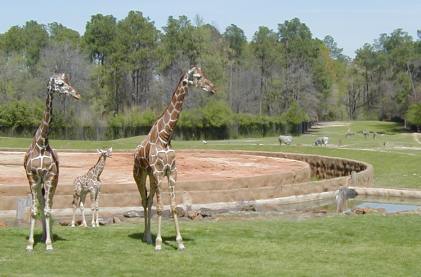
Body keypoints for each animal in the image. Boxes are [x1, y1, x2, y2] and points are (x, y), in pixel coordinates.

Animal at [23, 73, 79, 250]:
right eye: (60, 84)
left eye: (67, 81)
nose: (77, 94)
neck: (42, 143)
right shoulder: (33, 177)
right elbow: (34, 210)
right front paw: (30, 244)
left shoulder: (50, 176)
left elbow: (48, 210)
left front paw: (48, 243)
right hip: (39, 183)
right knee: (41, 204)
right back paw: (41, 236)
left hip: (53, 181)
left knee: (50, 204)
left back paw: (48, 237)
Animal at [133, 66, 215, 249]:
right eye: (198, 77)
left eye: (205, 74)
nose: (213, 88)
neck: (165, 136)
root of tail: (134, 153)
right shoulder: (158, 172)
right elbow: (160, 207)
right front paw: (158, 243)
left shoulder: (171, 172)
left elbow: (173, 206)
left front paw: (179, 242)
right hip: (140, 175)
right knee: (144, 201)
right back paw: (147, 237)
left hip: (153, 178)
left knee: (149, 201)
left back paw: (147, 237)